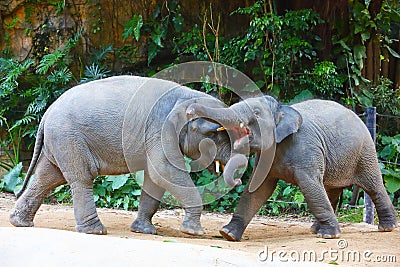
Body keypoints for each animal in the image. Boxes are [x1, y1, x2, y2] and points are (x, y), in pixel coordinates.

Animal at [9, 75, 247, 237]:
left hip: (59, 141)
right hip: (68, 138)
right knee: (81, 178)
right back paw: (95, 231)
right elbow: (164, 172)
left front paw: (144, 231)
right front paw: (194, 232)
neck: (185, 97)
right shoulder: (159, 130)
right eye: (214, 134)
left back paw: (19, 223)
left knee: (47, 177)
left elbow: (154, 178)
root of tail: (46, 113)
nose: (238, 180)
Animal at [190, 97, 396, 243]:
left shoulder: (307, 149)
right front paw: (227, 234)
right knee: (330, 189)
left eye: (256, 113)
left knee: (373, 185)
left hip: (365, 152)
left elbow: (309, 185)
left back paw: (386, 228)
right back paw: (316, 229)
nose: (190, 109)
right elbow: (257, 189)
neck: (282, 109)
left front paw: (330, 236)